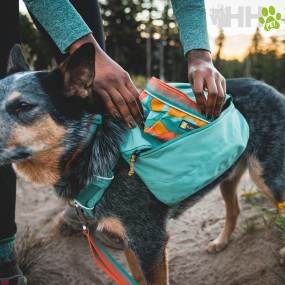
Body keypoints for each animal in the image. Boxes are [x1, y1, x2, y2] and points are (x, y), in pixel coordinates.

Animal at [0, 43, 282, 282]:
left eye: (24, 106)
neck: (94, 146)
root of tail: (269, 87)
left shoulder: (150, 242)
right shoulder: (128, 240)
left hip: (268, 178)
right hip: (228, 175)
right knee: (234, 209)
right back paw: (221, 242)